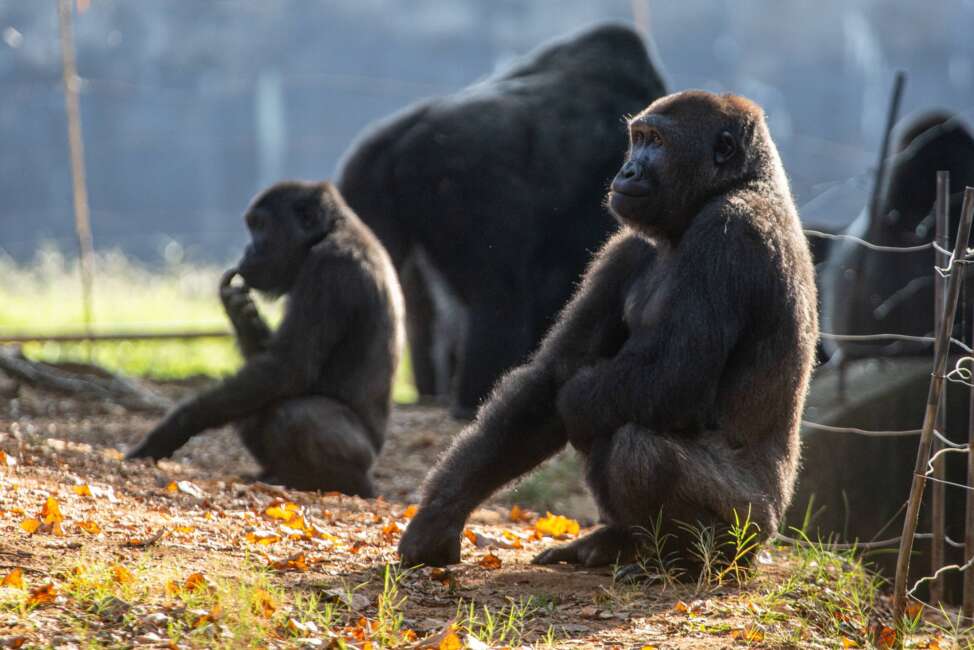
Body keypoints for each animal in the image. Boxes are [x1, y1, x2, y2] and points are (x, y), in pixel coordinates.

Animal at [127, 182, 406, 496]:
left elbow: (286, 369)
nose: (248, 249)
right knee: (253, 406)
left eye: (261, 226)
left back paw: (337, 482)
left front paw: (172, 429)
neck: (332, 230)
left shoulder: (330, 268)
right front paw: (241, 314)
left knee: (298, 414)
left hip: (364, 460)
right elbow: (267, 368)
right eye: (253, 227)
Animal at [396, 88, 816, 568]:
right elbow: (548, 379)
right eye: (638, 139)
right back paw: (619, 542)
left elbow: (670, 380)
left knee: (639, 450)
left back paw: (688, 559)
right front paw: (439, 516)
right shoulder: (624, 248)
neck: (740, 183)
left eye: (657, 142)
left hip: (753, 527)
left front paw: (576, 400)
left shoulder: (728, 233)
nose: (627, 170)